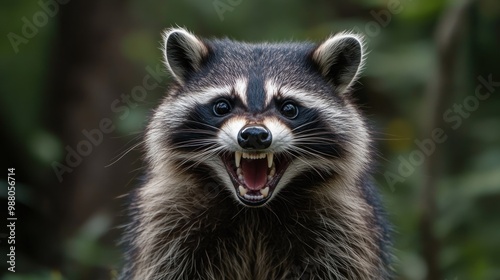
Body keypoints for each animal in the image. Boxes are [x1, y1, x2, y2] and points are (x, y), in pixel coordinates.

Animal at [120, 27, 390, 280]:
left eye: (289, 108)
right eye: (222, 106)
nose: (254, 135)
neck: (253, 212)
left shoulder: (343, 225)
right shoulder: (165, 219)